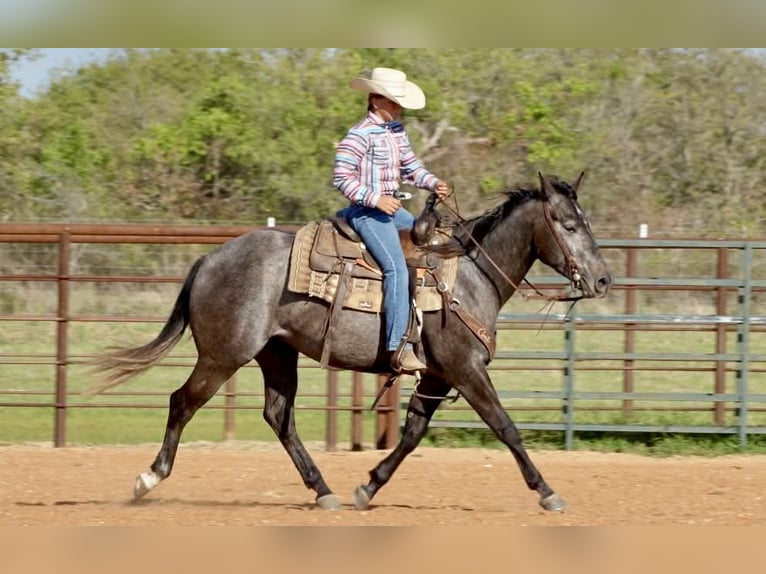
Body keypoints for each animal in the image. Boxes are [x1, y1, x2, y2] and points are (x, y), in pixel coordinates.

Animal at [89, 172, 612, 512]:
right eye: (568, 226)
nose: (603, 279)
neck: (468, 274)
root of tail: (208, 260)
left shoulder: (437, 377)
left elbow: (412, 434)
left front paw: (369, 487)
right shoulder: (466, 370)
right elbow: (506, 428)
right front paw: (547, 492)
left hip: (276, 354)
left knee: (278, 416)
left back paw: (324, 490)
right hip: (223, 355)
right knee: (183, 402)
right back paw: (147, 479)